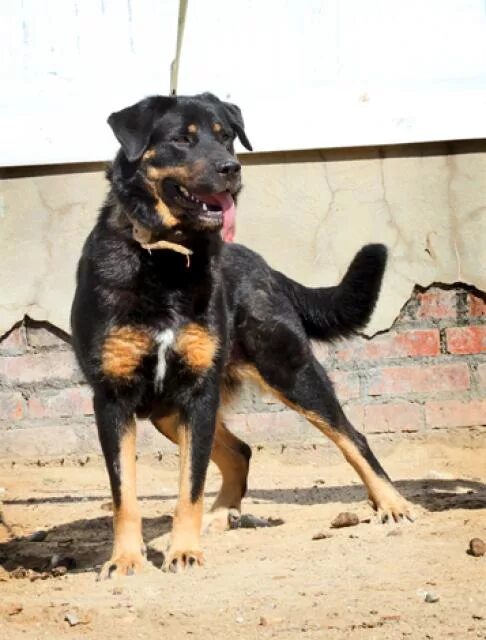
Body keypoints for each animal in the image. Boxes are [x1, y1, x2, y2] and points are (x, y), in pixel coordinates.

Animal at [71, 92, 414, 576]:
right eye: (183, 139)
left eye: (226, 136)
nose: (232, 169)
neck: (167, 258)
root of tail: (264, 266)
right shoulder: (113, 397)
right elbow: (125, 495)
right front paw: (125, 559)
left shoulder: (198, 392)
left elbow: (189, 485)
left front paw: (184, 551)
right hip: (169, 412)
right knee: (240, 451)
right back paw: (221, 514)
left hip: (289, 370)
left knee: (352, 437)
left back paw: (392, 503)